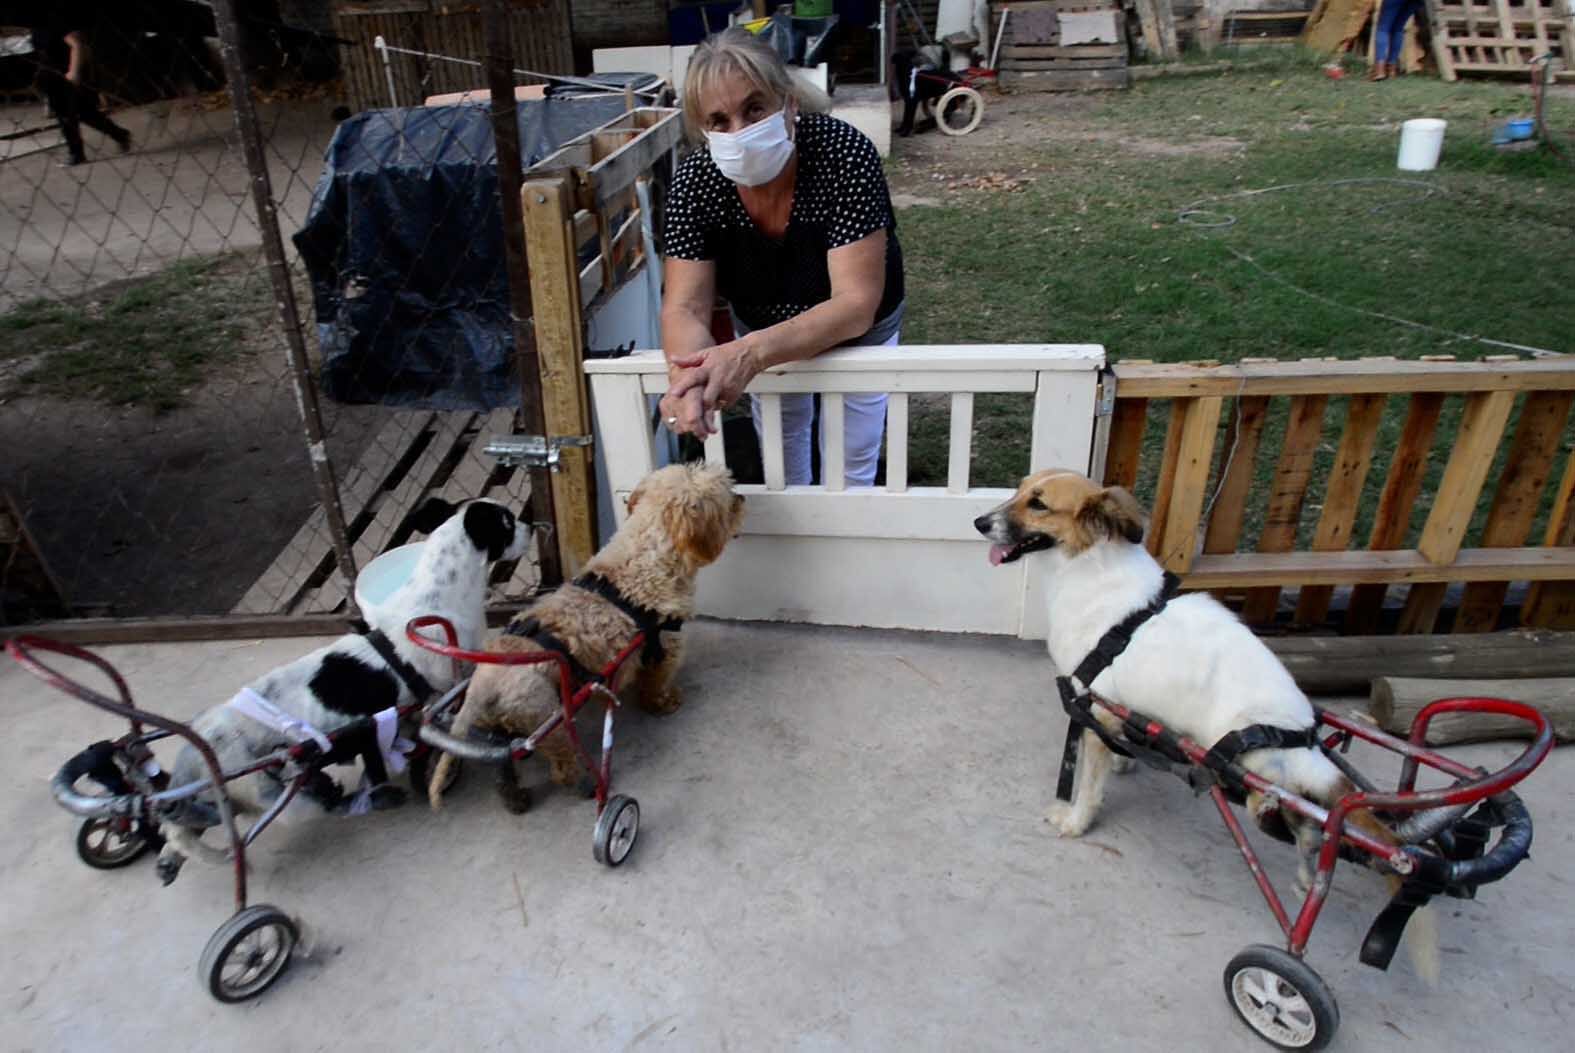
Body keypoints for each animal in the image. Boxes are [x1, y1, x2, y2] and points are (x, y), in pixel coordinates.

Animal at [158, 497, 529, 881]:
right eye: (508, 522)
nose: (531, 527)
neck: (438, 597)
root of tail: (199, 750)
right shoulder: (446, 686)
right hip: (277, 795)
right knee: (312, 805)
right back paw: (365, 797)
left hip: (226, 799)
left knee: (184, 826)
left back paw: (169, 857)